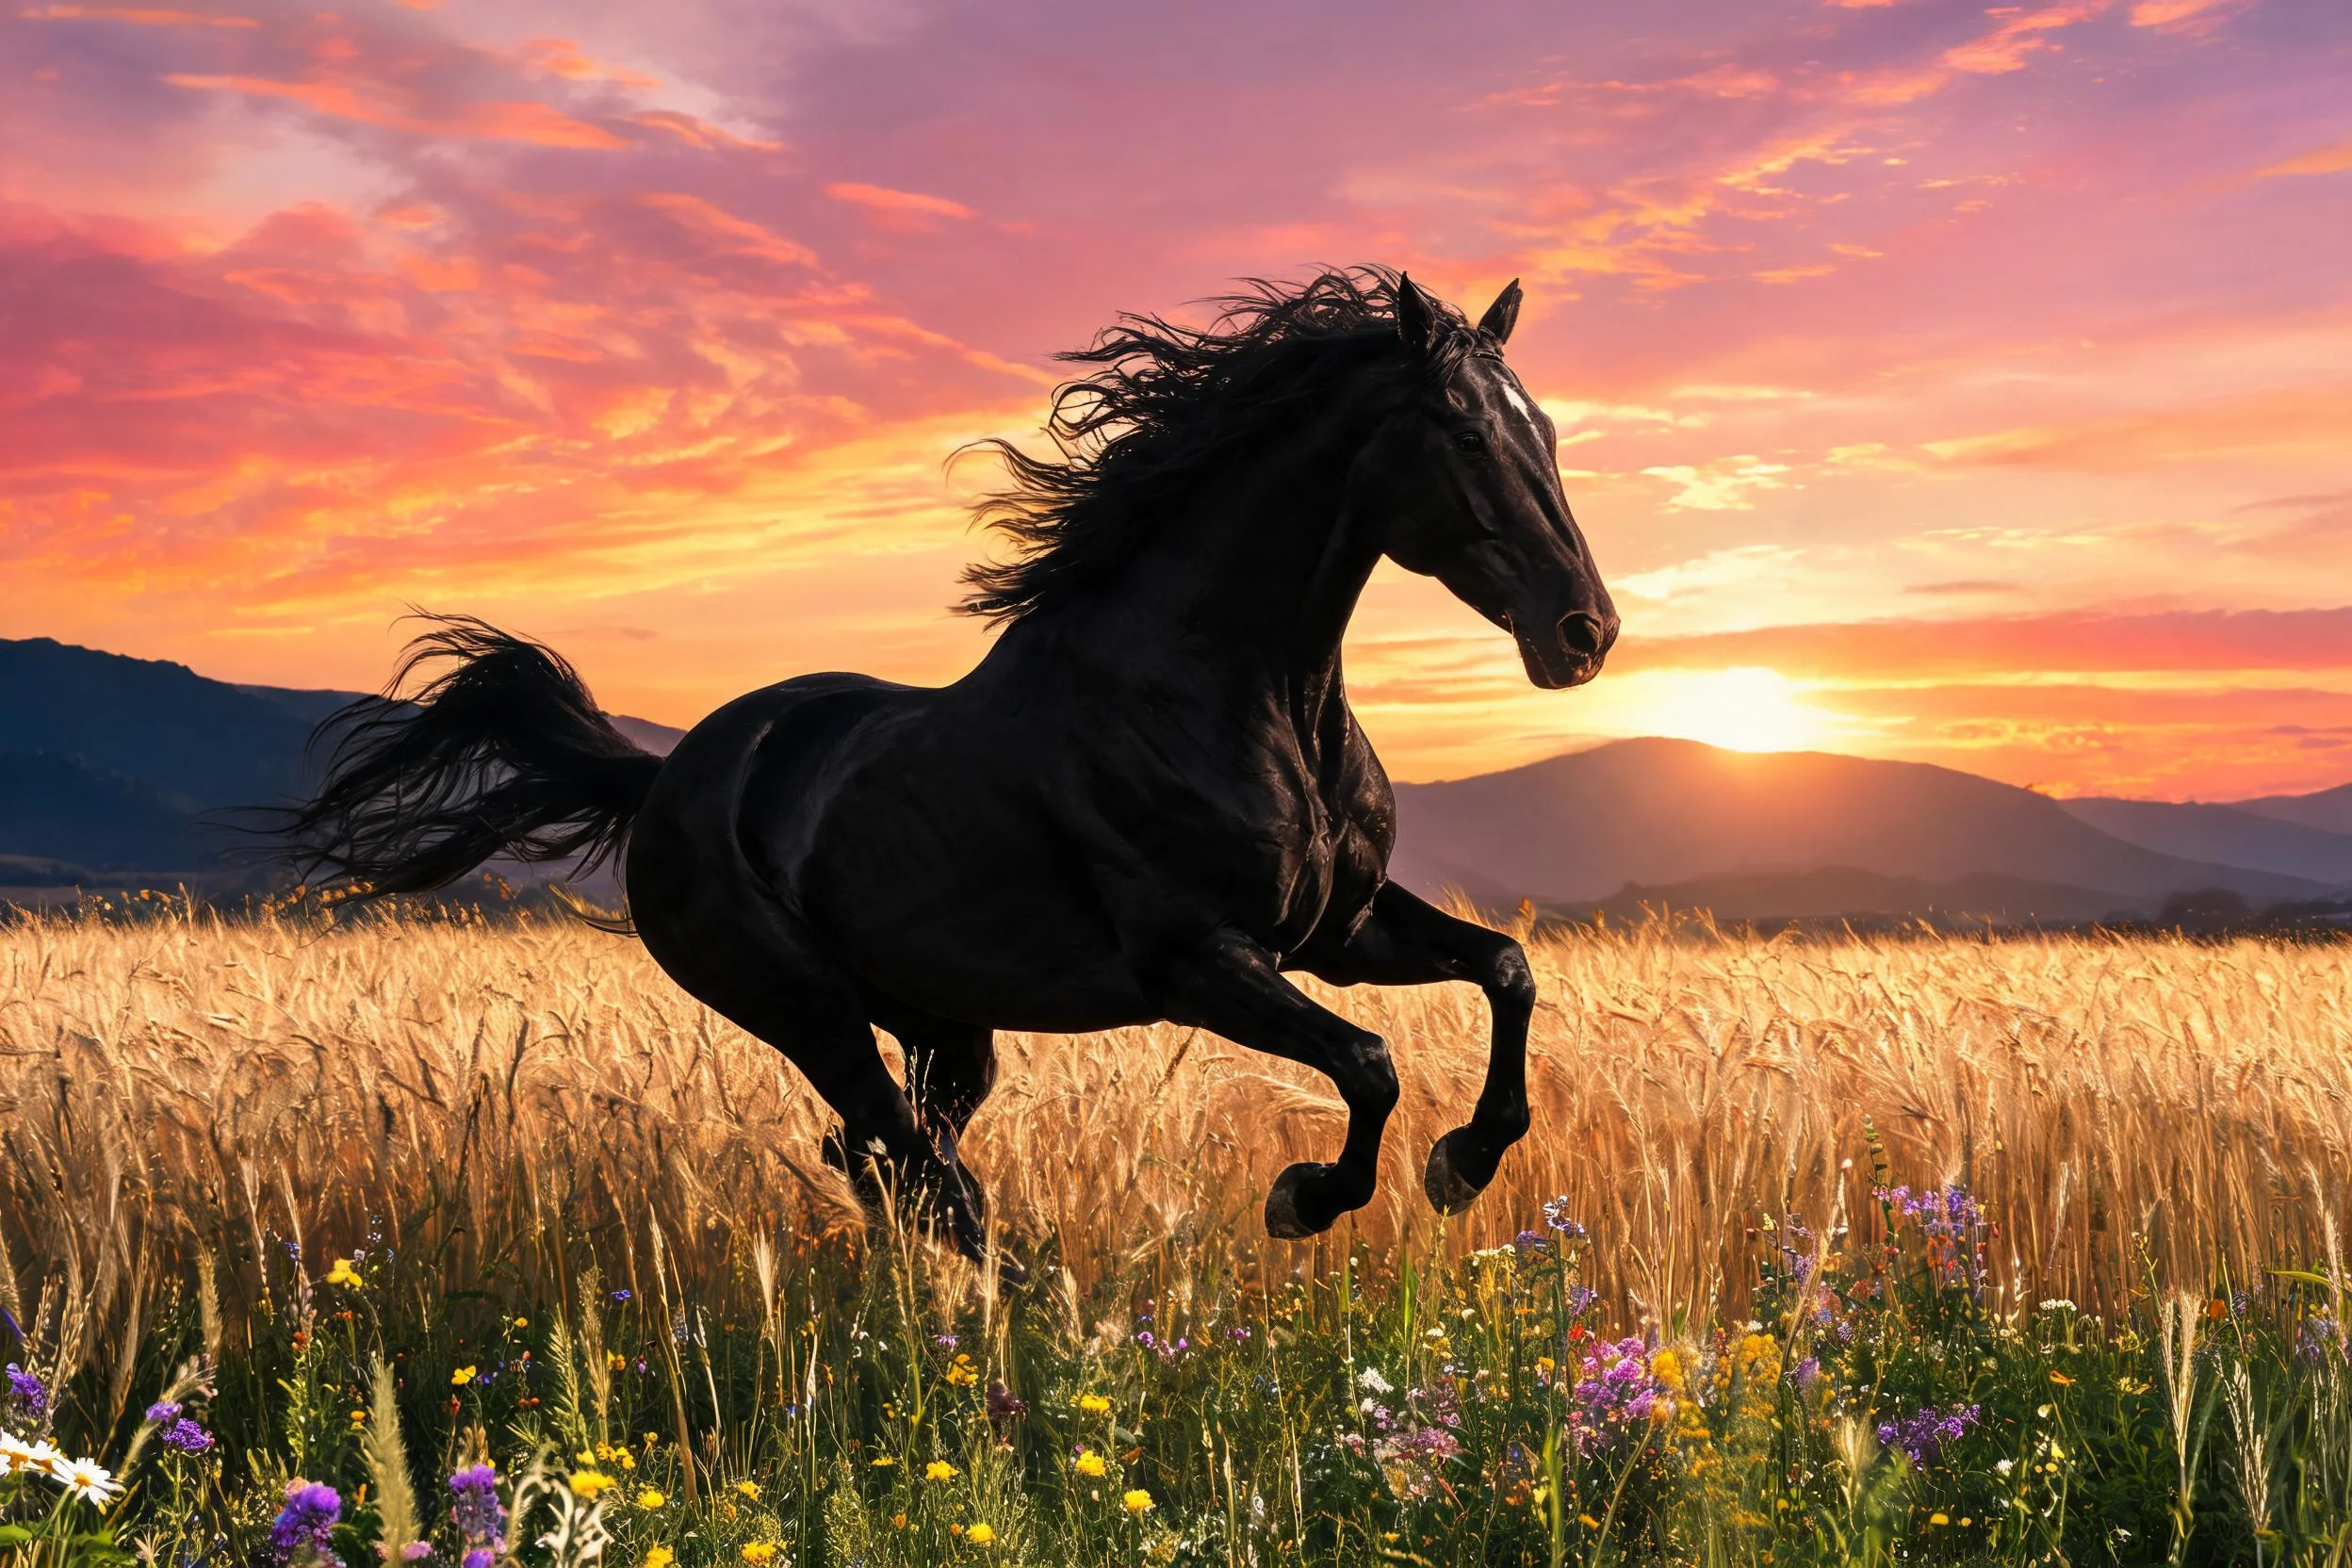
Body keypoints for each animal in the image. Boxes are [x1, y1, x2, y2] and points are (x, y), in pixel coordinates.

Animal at [279, 267, 1617, 1278]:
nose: (1584, 632)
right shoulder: (1199, 961)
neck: (1237, 694)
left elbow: (1508, 968)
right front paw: (1306, 1194)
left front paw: (1465, 1161)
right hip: (808, 1009)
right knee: (914, 1166)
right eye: (1464, 431)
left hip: (943, 1024)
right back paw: (1029, 1306)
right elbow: (1369, 1063)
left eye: (1548, 429)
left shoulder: (1339, 931)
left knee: (885, 1160)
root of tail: (664, 780)